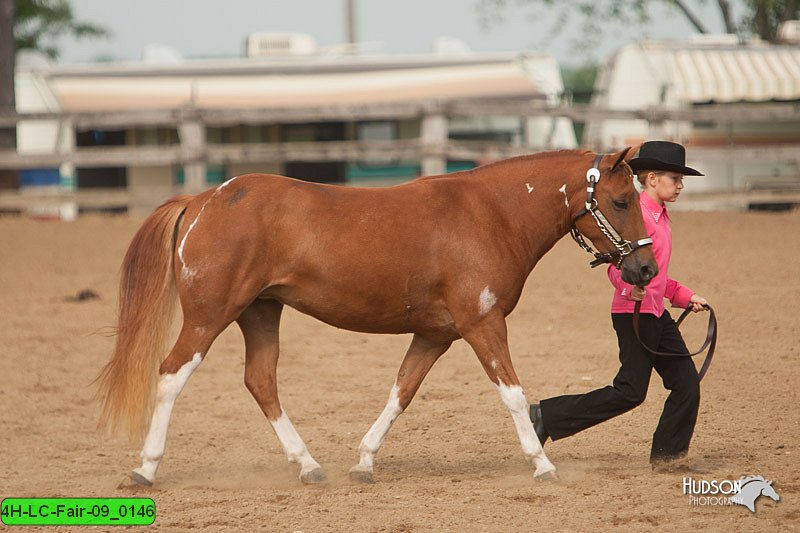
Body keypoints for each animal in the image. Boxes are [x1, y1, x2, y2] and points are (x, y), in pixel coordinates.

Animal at [95, 145, 656, 486]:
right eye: (621, 200)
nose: (647, 268)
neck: (491, 214)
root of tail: (204, 200)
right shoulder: (483, 326)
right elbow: (514, 395)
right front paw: (541, 463)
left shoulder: (434, 336)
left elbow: (400, 393)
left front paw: (364, 461)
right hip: (209, 316)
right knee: (172, 374)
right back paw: (146, 470)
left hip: (260, 313)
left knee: (261, 381)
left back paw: (308, 465)